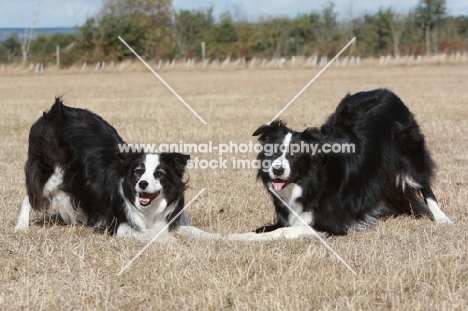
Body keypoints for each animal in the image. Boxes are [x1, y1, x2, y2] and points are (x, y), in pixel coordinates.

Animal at [250, 89, 452, 240]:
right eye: (273, 151)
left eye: (295, 154)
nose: (277, 170)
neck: (309, 181)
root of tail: (386, 91)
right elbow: (266, 228)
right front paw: (245, 235)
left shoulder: (329, 224)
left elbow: (282, 231)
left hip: (409, 153)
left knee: (424, 184)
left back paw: (441, 218)